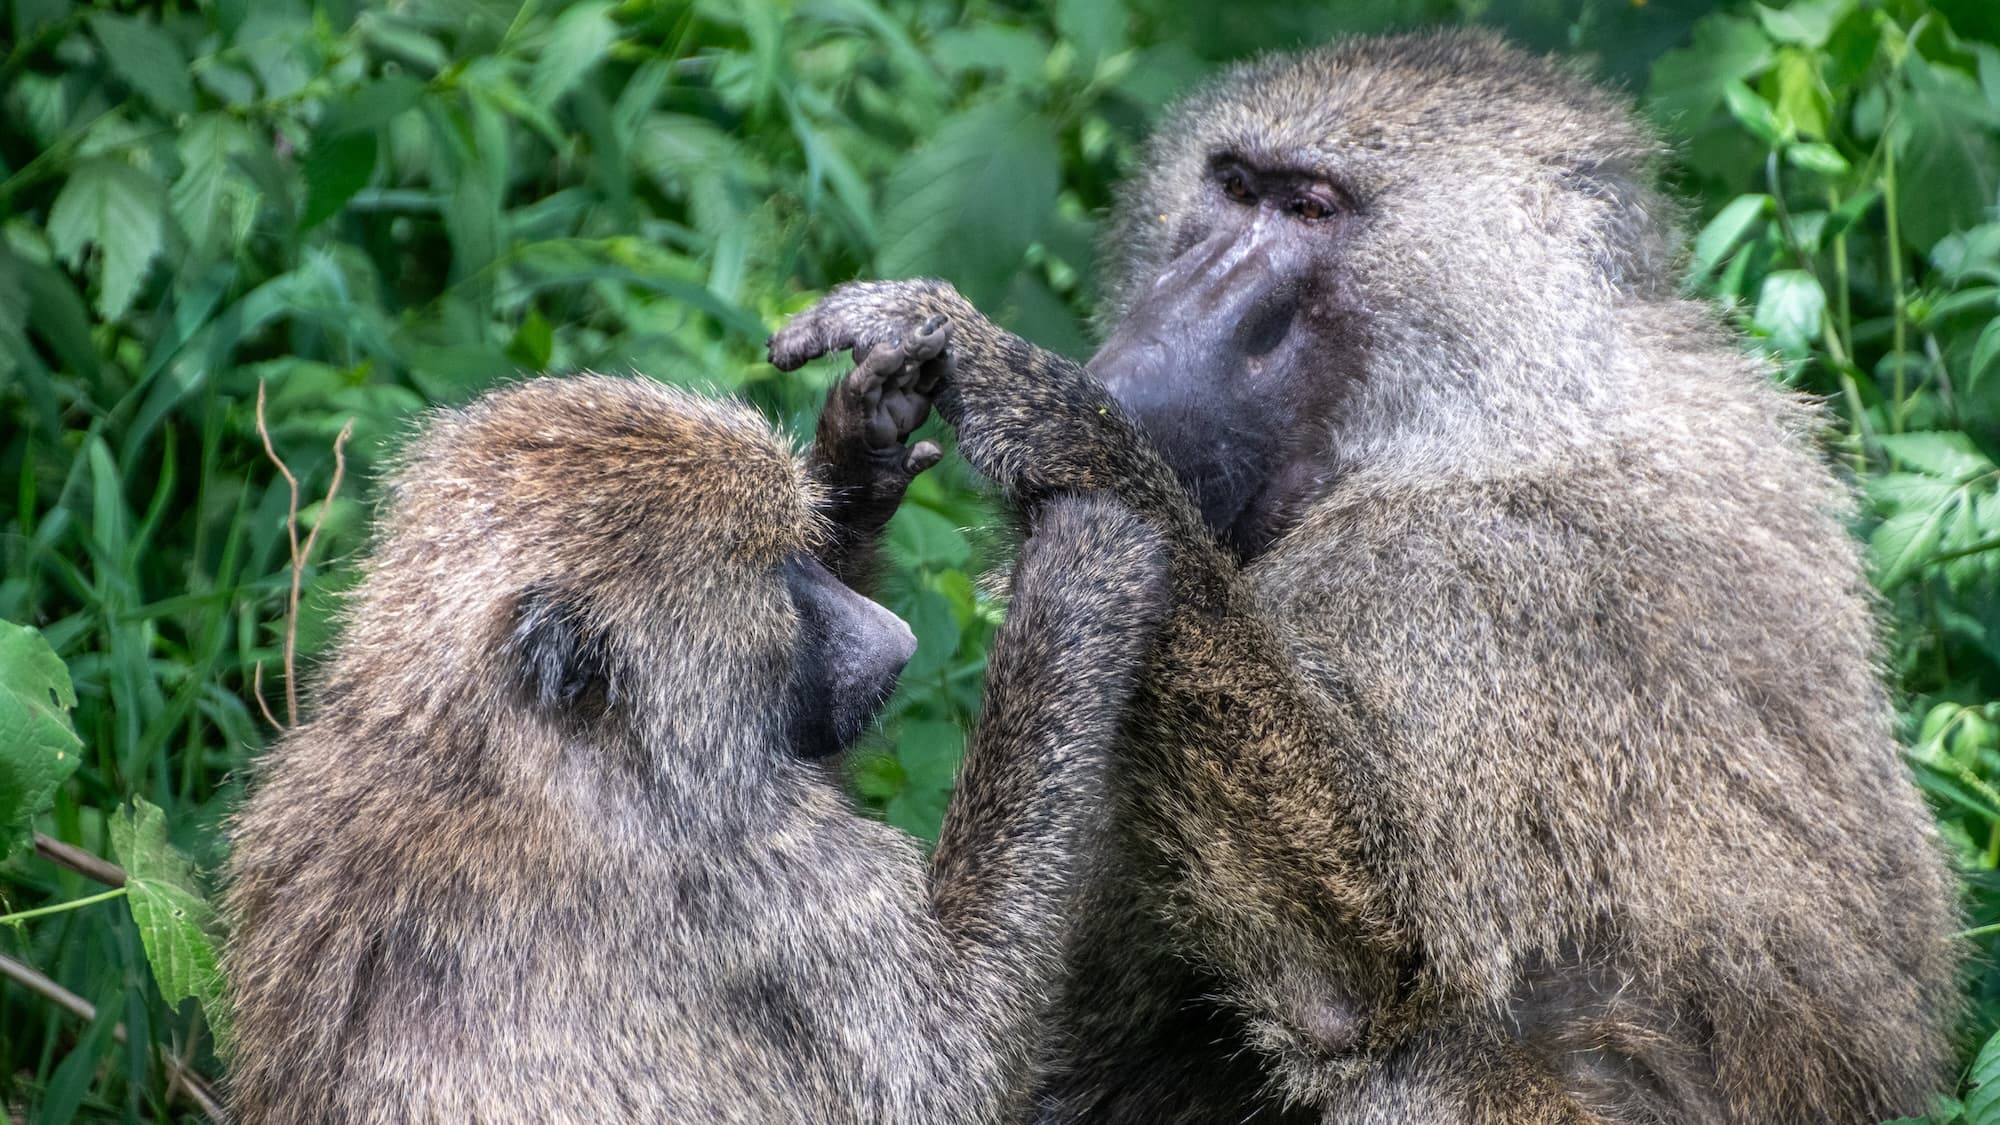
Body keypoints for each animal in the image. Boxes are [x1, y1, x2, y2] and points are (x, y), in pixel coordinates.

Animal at [221, 370, 1170, 1123]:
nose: (893, 639)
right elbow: (947, 1077)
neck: (476, 755)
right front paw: (1080, 575)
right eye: (775, 579)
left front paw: (860, 451)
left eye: (799, 552)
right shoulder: (775, 878)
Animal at [768, 28, 1962, 1124]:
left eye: (1310, 209)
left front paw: (1056, 423)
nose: (1139, 360)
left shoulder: (1475, 581)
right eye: (1231, 188)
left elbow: (1368, 971)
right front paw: (844, 477)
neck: (1478, 420)